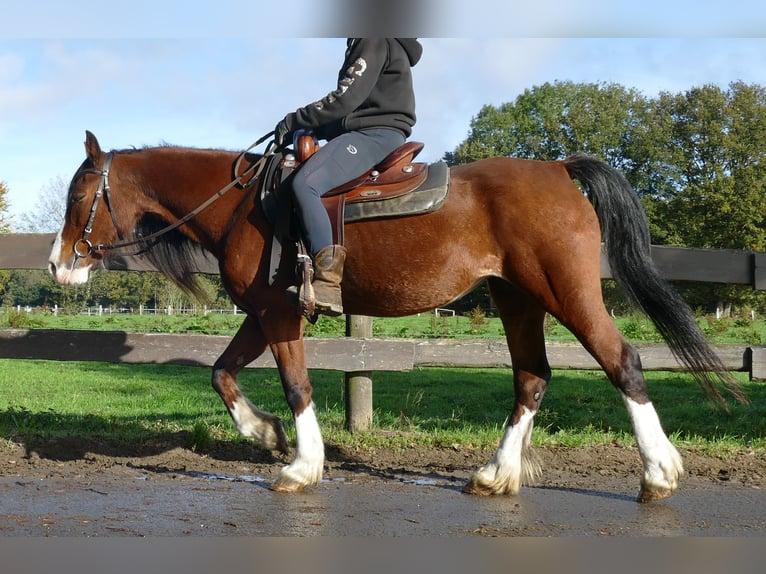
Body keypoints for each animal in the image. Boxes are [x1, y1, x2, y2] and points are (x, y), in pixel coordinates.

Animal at [49, 131, 744, 502]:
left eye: (80, 195)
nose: (59, 265)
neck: (247, 205)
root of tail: (557, 168)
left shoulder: (280, 315)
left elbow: (296, 385)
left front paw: (300, 463)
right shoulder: (263, 313)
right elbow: (221, 373)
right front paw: (266, 434)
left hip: (566, 293)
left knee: (621, 361)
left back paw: (658, 474)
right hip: (516, 299)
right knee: (532, 378)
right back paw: (495, 475)